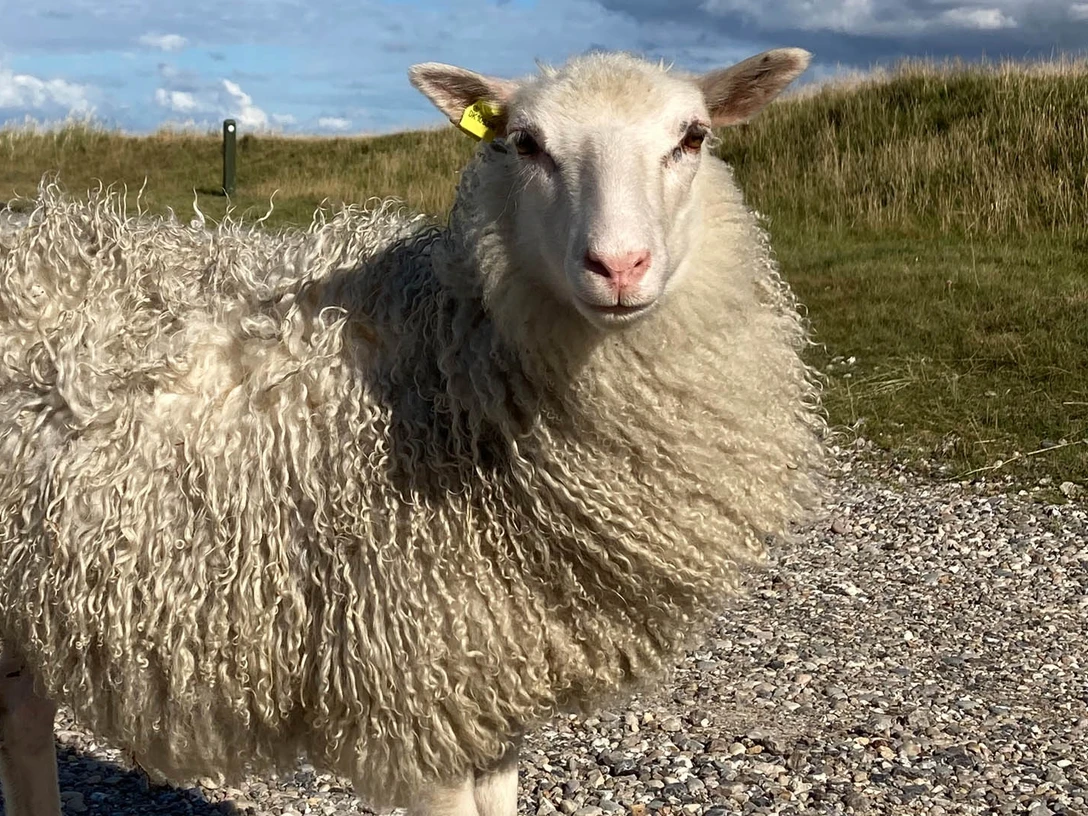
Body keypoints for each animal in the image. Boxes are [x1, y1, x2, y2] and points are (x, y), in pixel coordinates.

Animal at [0, 47, 824, 816]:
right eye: (526, 143)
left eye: (693, 137)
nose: (618, 266)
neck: (453, 357)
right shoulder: (411, 688)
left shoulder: (486, 690)